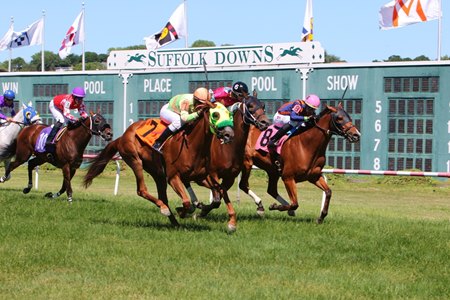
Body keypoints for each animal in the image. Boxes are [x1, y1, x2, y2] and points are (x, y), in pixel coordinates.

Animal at [82, 103, 234, 227]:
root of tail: (122, 136)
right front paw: (183, 210)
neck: (192, 145)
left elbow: (219, 195)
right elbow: (186, 202)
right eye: (215, 114)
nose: (229, 134)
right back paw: (165, 210)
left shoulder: (201, 177)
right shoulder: (173, 177)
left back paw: (174, 221)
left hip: (158, 173)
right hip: (135, 160)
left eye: (229, 114)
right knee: (142, 190)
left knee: (163, 197)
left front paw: (230, 222)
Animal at [184, 96, 270, 230]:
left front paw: (202, 211)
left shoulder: (230, 177)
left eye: (263, 105)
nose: (265, 123)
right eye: (250, 106)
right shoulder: (213, 173)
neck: (228, 148)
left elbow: (219, 196)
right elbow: (218, 198)